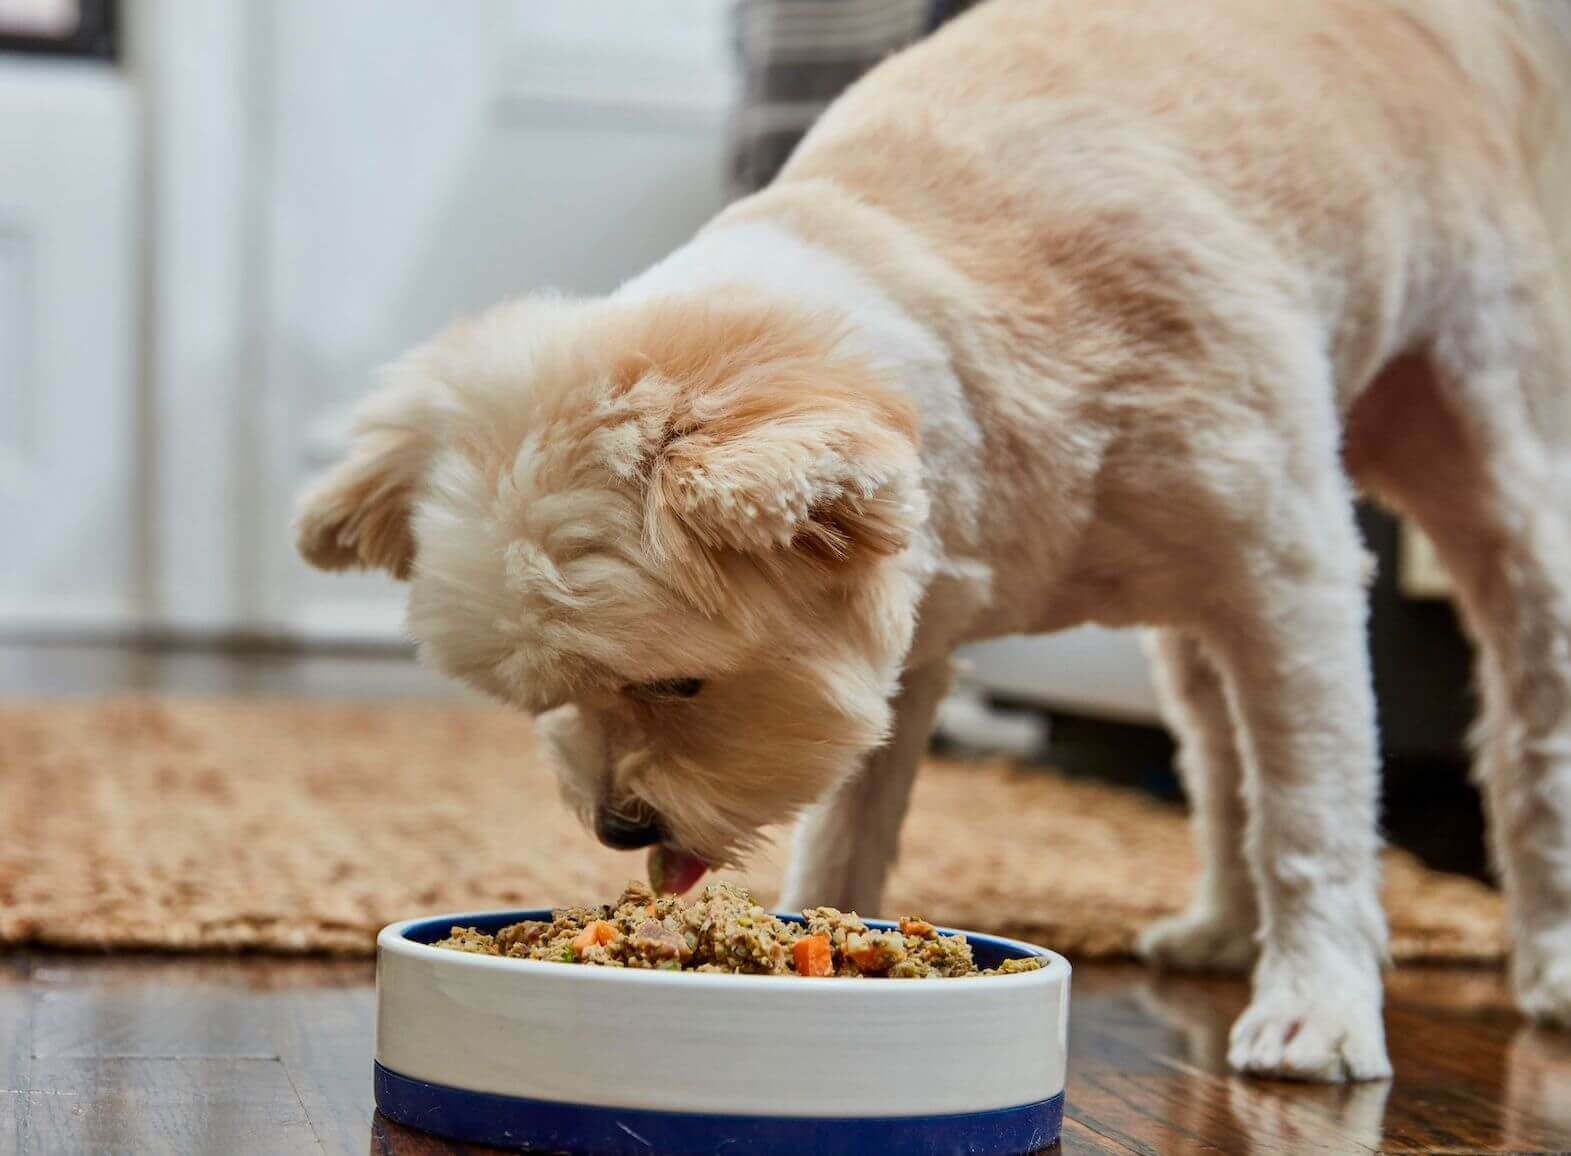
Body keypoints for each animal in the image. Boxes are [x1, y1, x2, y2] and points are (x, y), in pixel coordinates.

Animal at [295, 0, 1571, 1080]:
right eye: (553, 698)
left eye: (677, 683)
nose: (621, 826)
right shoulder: (905, 639)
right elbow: (850, 828)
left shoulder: (1291, 583)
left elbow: (1313, 812)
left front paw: (1316, 1002)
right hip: (1186, 613)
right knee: (1216, 752)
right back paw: (1219, 924)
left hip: (1490, 469)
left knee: (1524, 736)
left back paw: (1546, 959)